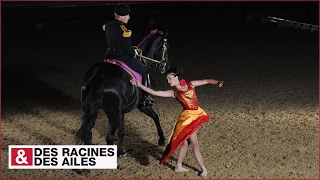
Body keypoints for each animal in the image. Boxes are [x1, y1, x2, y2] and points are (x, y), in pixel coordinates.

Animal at [76, 28, 170, 158]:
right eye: (166, 47)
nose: (166, 65)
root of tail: (99, 74)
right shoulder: (142, 107)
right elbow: (156, 116)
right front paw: (162, 139)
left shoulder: (122, 111)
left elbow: (121, 131)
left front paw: (120, 151)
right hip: (113, 113)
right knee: (109, 137)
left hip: (90, 109)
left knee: (88, 132)